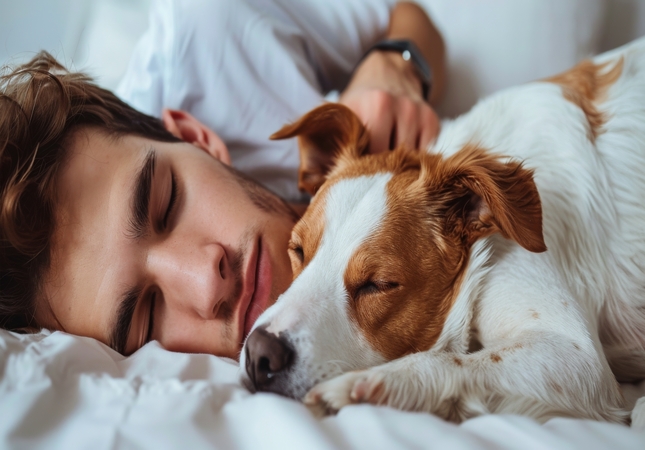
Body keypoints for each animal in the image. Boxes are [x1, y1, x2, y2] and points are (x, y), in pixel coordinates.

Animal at [238, 37, 644, 424]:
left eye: (378, 285)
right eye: (298, 250)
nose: (260, 355)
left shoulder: (576, 355)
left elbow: (449, 359)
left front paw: (368, 384)